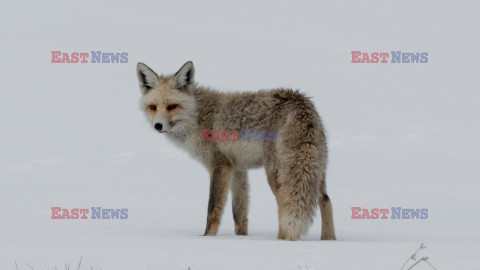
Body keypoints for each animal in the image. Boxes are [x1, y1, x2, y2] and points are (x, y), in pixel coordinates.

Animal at [137, 61, 336, 240]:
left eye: (172, 106)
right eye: (153, 107)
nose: (158, 126)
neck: (198, 117)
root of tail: (300, 100)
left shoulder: (220, 165)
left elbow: (213, 208)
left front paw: (207, 237)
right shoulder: (238, 168)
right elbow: (239, 213)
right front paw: (241, 239)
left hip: (276, 174)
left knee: (285, 205)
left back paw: (283, 241)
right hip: (314, 172)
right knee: (325, 200)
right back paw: (329, 240)